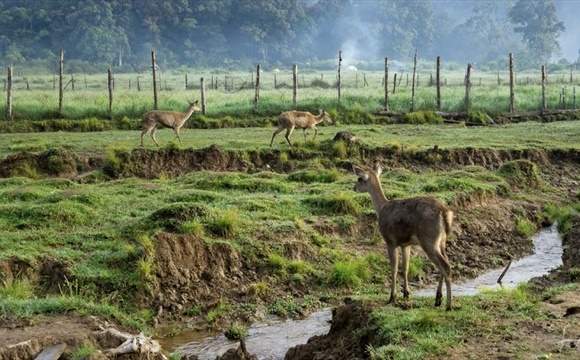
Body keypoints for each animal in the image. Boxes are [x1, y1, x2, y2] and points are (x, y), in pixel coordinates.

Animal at [352, 163, 456, 310]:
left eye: (360, 179)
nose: (354, 187)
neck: (381, 208)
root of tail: (445, 213)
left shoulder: (390, 241)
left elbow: (394, 268)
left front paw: (392, 297)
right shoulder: (406, 244)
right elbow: (405, 267)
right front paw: (406, 293)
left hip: (428, 239)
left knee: (445, 265)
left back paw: (448, 305)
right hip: (442, 240)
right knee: (445, 262)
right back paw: (438, 299)